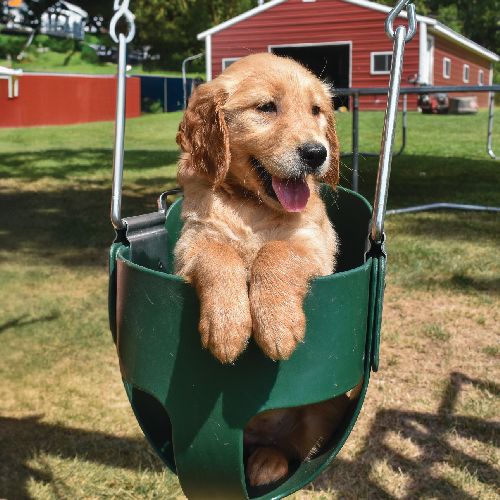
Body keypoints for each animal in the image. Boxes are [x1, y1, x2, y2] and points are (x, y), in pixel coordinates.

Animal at [174, 52, 346, 486]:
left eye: (317, 111)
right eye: (267, 108)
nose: (317, 153)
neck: (252, 206)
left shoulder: (314, 244)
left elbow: (275, 252)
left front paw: (276, 326)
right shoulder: (193, 240)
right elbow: (220, 256)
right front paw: (227, 326)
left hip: (327, 408)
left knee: (294, 446)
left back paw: (269, 462)